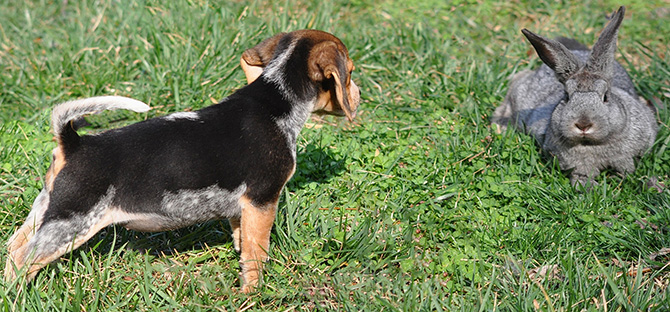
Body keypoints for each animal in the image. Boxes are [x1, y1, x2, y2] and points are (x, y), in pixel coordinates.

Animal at [5, 29, 362, 292]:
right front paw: (254, 294)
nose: (360, 97)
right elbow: (256, 254)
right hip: (71, 222)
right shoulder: (262, 201)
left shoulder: (242, 209)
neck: (276, 98)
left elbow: (242, 242)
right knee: (24, 259)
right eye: (350, 73)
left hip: (46, 210)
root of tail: (73, 143)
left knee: (12, 249)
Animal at [496, 6, 660, 188]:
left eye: (605, 97)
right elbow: (581, 177)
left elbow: (627, 169)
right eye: (567, 96)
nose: (583, 125)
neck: (593, 143)